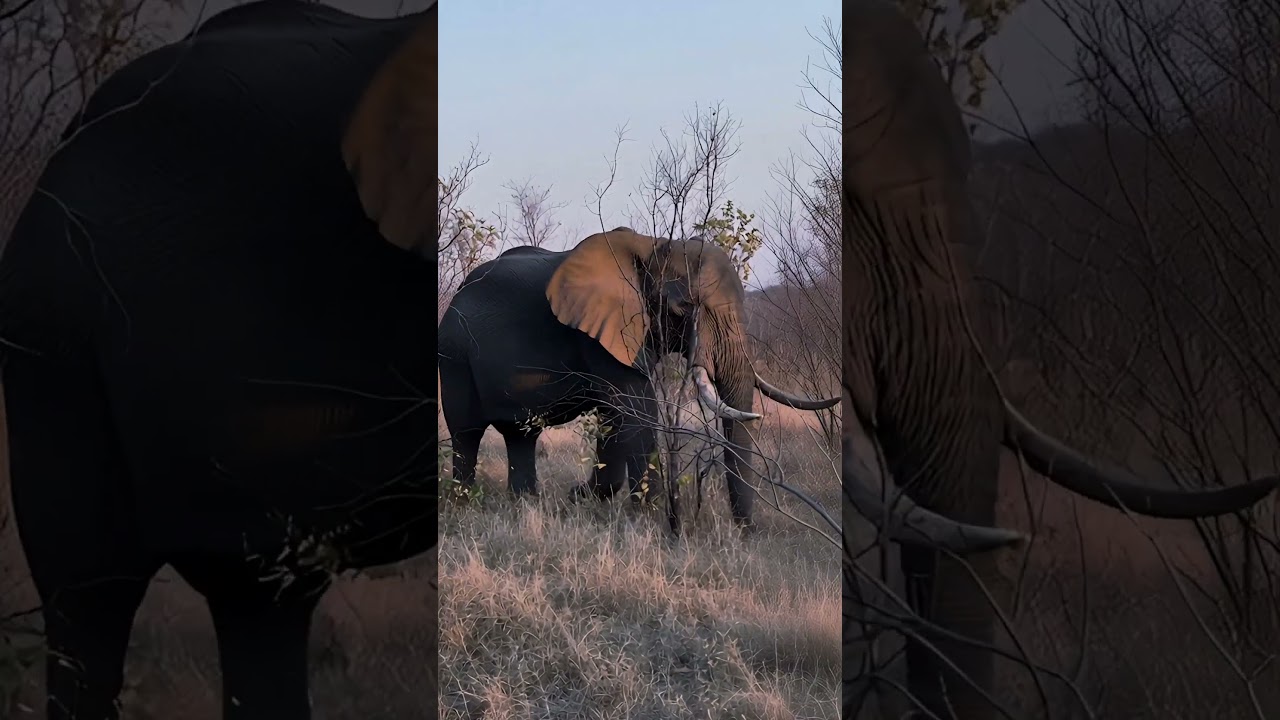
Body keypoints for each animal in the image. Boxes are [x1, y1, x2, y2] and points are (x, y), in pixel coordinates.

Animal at [437, 229, 841, 534]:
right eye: (683, 308)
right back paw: (463, 503)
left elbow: (615, 419)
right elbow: (635, 410)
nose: (748, 534)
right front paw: (648, 514)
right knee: (466, 433)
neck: (654, 245)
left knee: (521, 435)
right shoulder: (600, 334)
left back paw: (525, 505)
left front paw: (578, 498)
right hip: (455, 355)